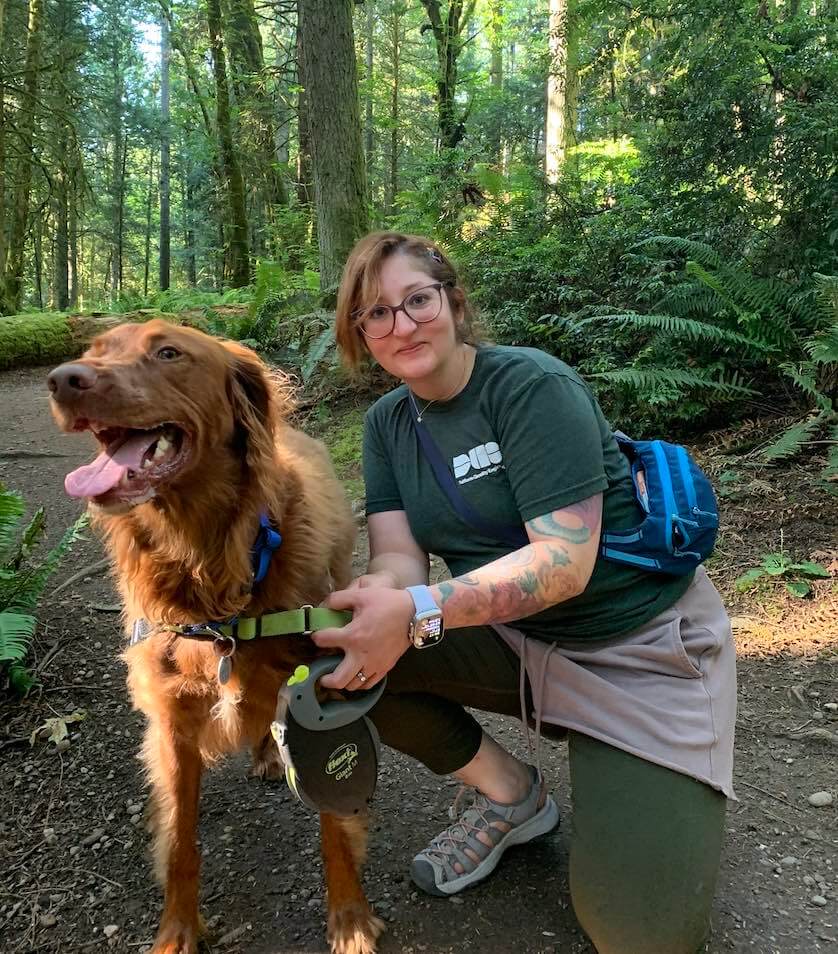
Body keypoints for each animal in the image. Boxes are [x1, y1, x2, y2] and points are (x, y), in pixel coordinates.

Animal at [49, 322, 384, 952]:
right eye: (94, 351)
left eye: (168, 352)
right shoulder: (173, 721)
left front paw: (350, 918)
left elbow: (334, 822)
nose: (62, 379)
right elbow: (181, 839)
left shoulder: (322, 685)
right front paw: (178, 930)